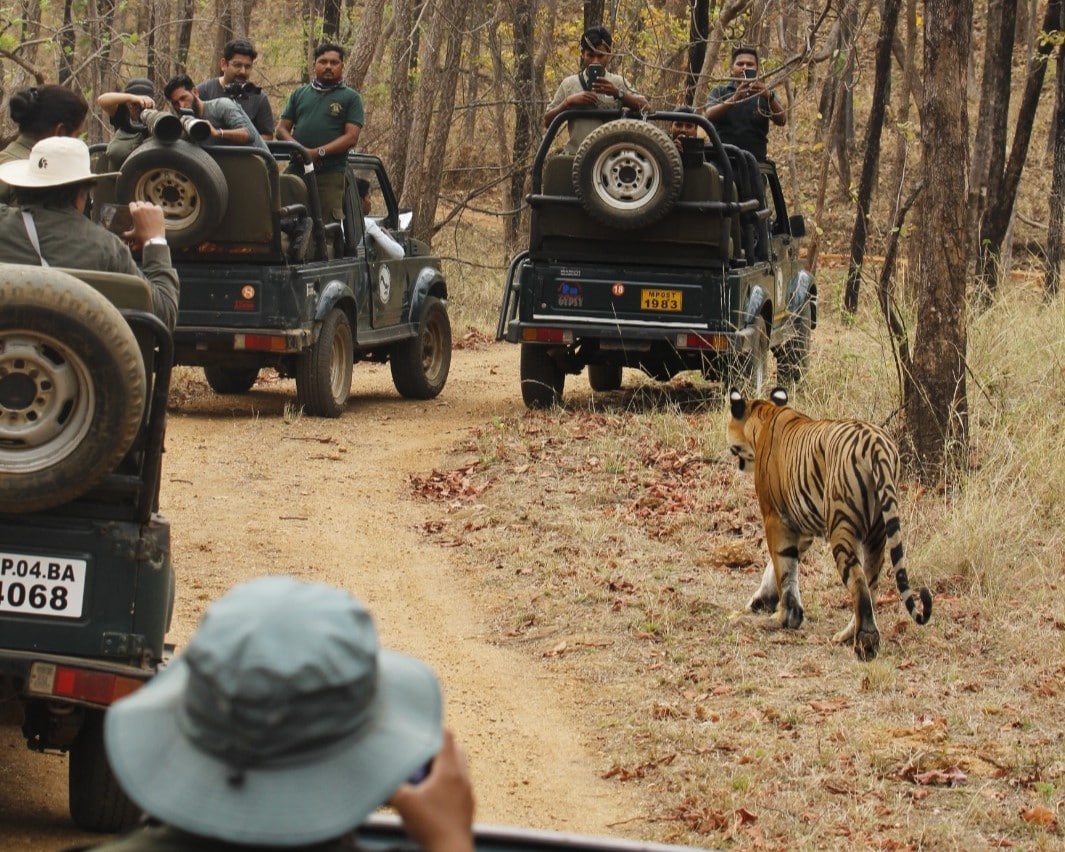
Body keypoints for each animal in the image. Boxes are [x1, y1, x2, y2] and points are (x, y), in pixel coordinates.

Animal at [728, 385, 928, 660]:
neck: (765, 414)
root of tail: (876, 444)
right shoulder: (801, 529)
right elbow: (777, 567)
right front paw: (763, 602)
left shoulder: (775, 519)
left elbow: (783, 569)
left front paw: (782, 617)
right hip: (877, 531)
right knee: (871, 582)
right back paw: (847, 635)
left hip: (841, 527)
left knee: (858, 583)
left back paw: (865, 642)